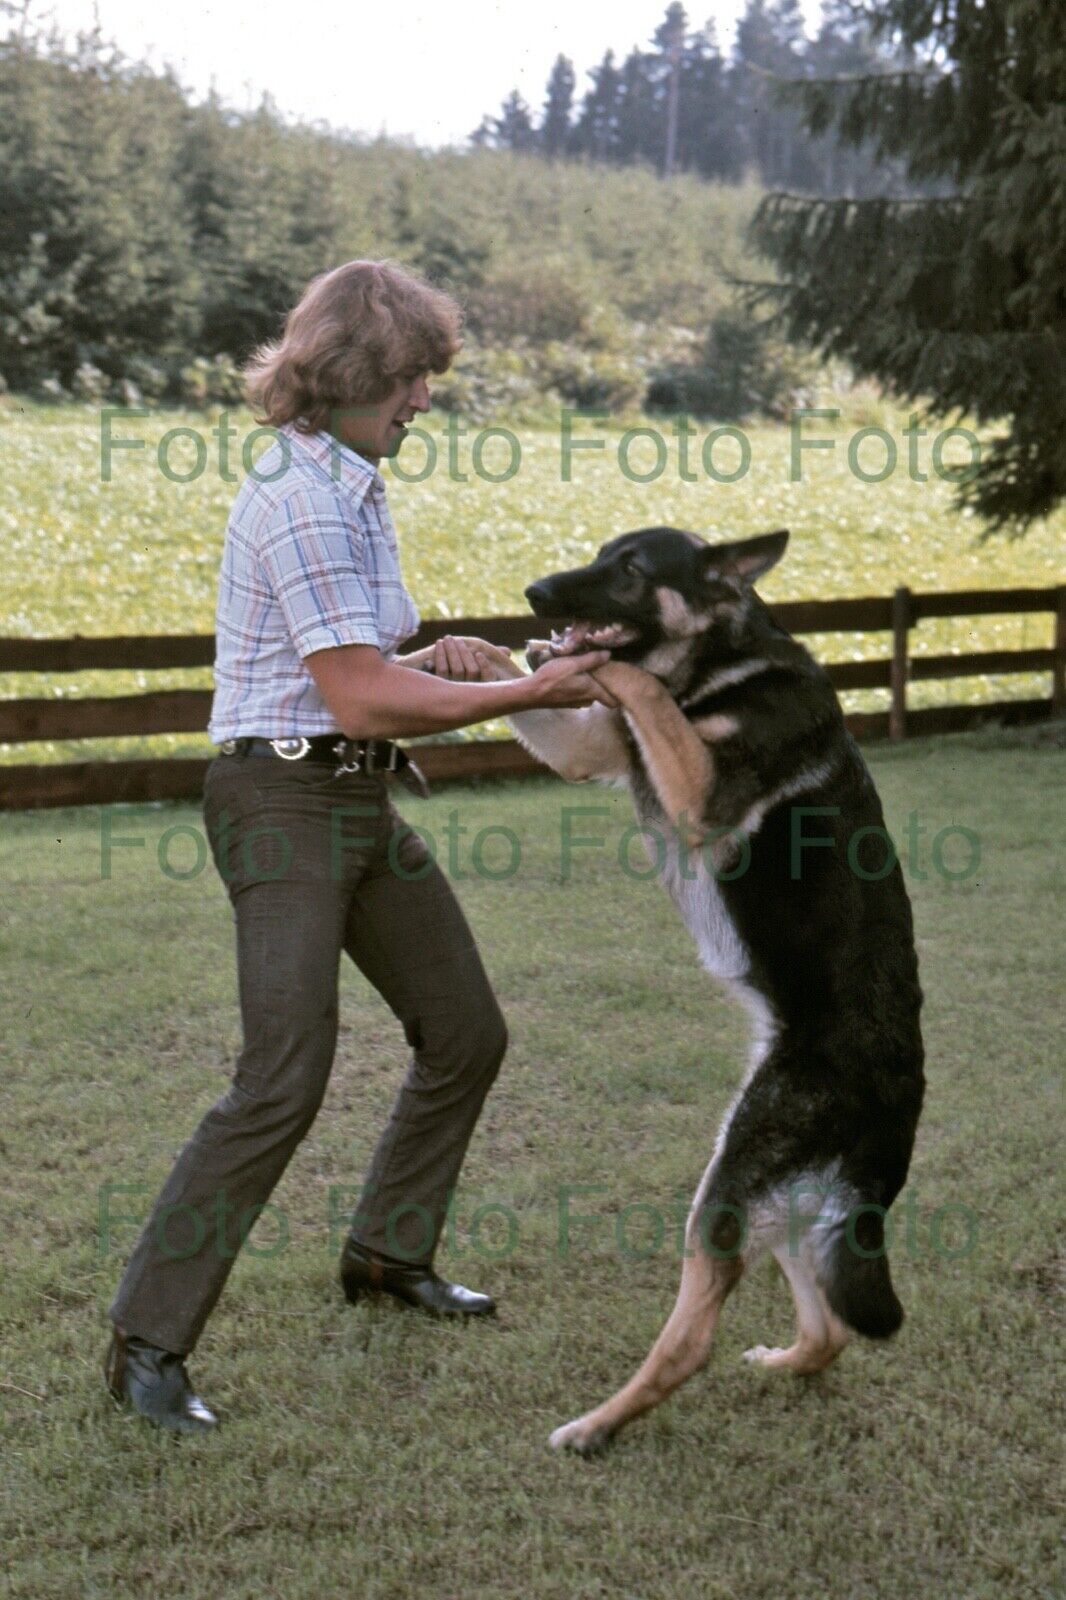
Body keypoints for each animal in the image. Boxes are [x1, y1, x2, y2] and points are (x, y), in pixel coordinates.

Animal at [470, 531, 915, 1459]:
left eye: (633, 568)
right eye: (603, 551)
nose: (533, 593)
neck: (717, 667)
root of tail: (898, 1100)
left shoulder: (700, 787)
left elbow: (632, 681)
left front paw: (597, 665)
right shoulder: (596, 749)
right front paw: (483, 653)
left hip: (729, 1185)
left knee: (691, 1342)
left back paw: (596, 1426)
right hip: (770, 1194)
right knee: (828, 1328)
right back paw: (784, 1364)